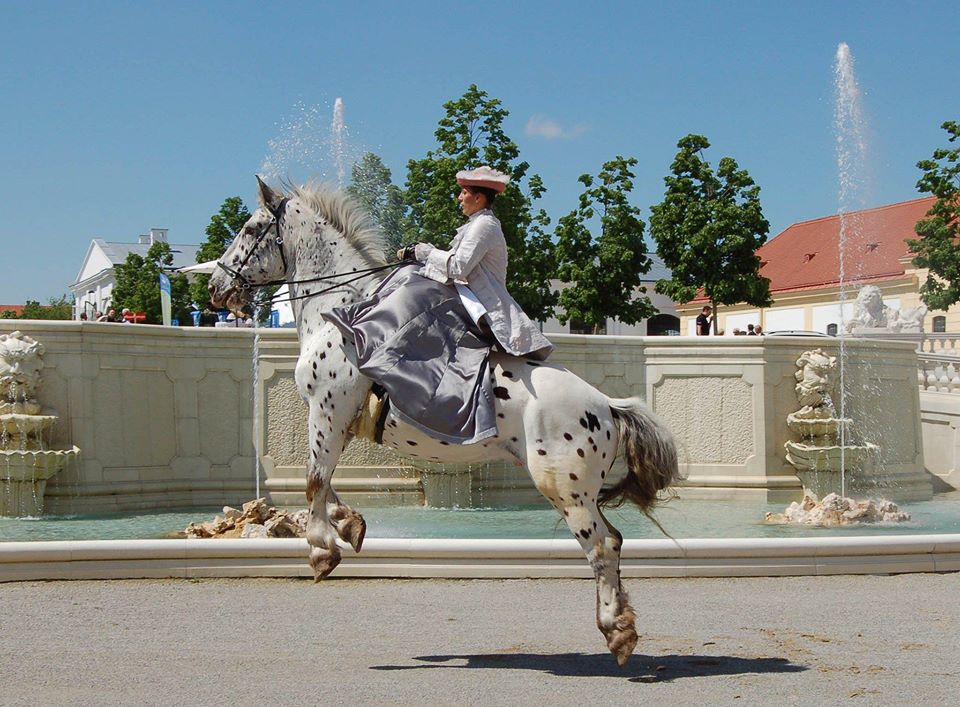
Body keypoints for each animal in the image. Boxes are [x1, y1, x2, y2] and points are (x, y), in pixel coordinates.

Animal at [208, 178, 684, 668]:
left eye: (251, 229)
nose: (215, 286)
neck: (341, 313)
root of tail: (607, 404)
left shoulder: (327, 411)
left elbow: (314, 481)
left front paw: (322, 550)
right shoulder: (335, 423)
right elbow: (326, 484)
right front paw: (351, 525)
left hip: (564, 490)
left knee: (601, 547)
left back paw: (616, 632)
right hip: (579, 492)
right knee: (615, 541)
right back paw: (621, 629)